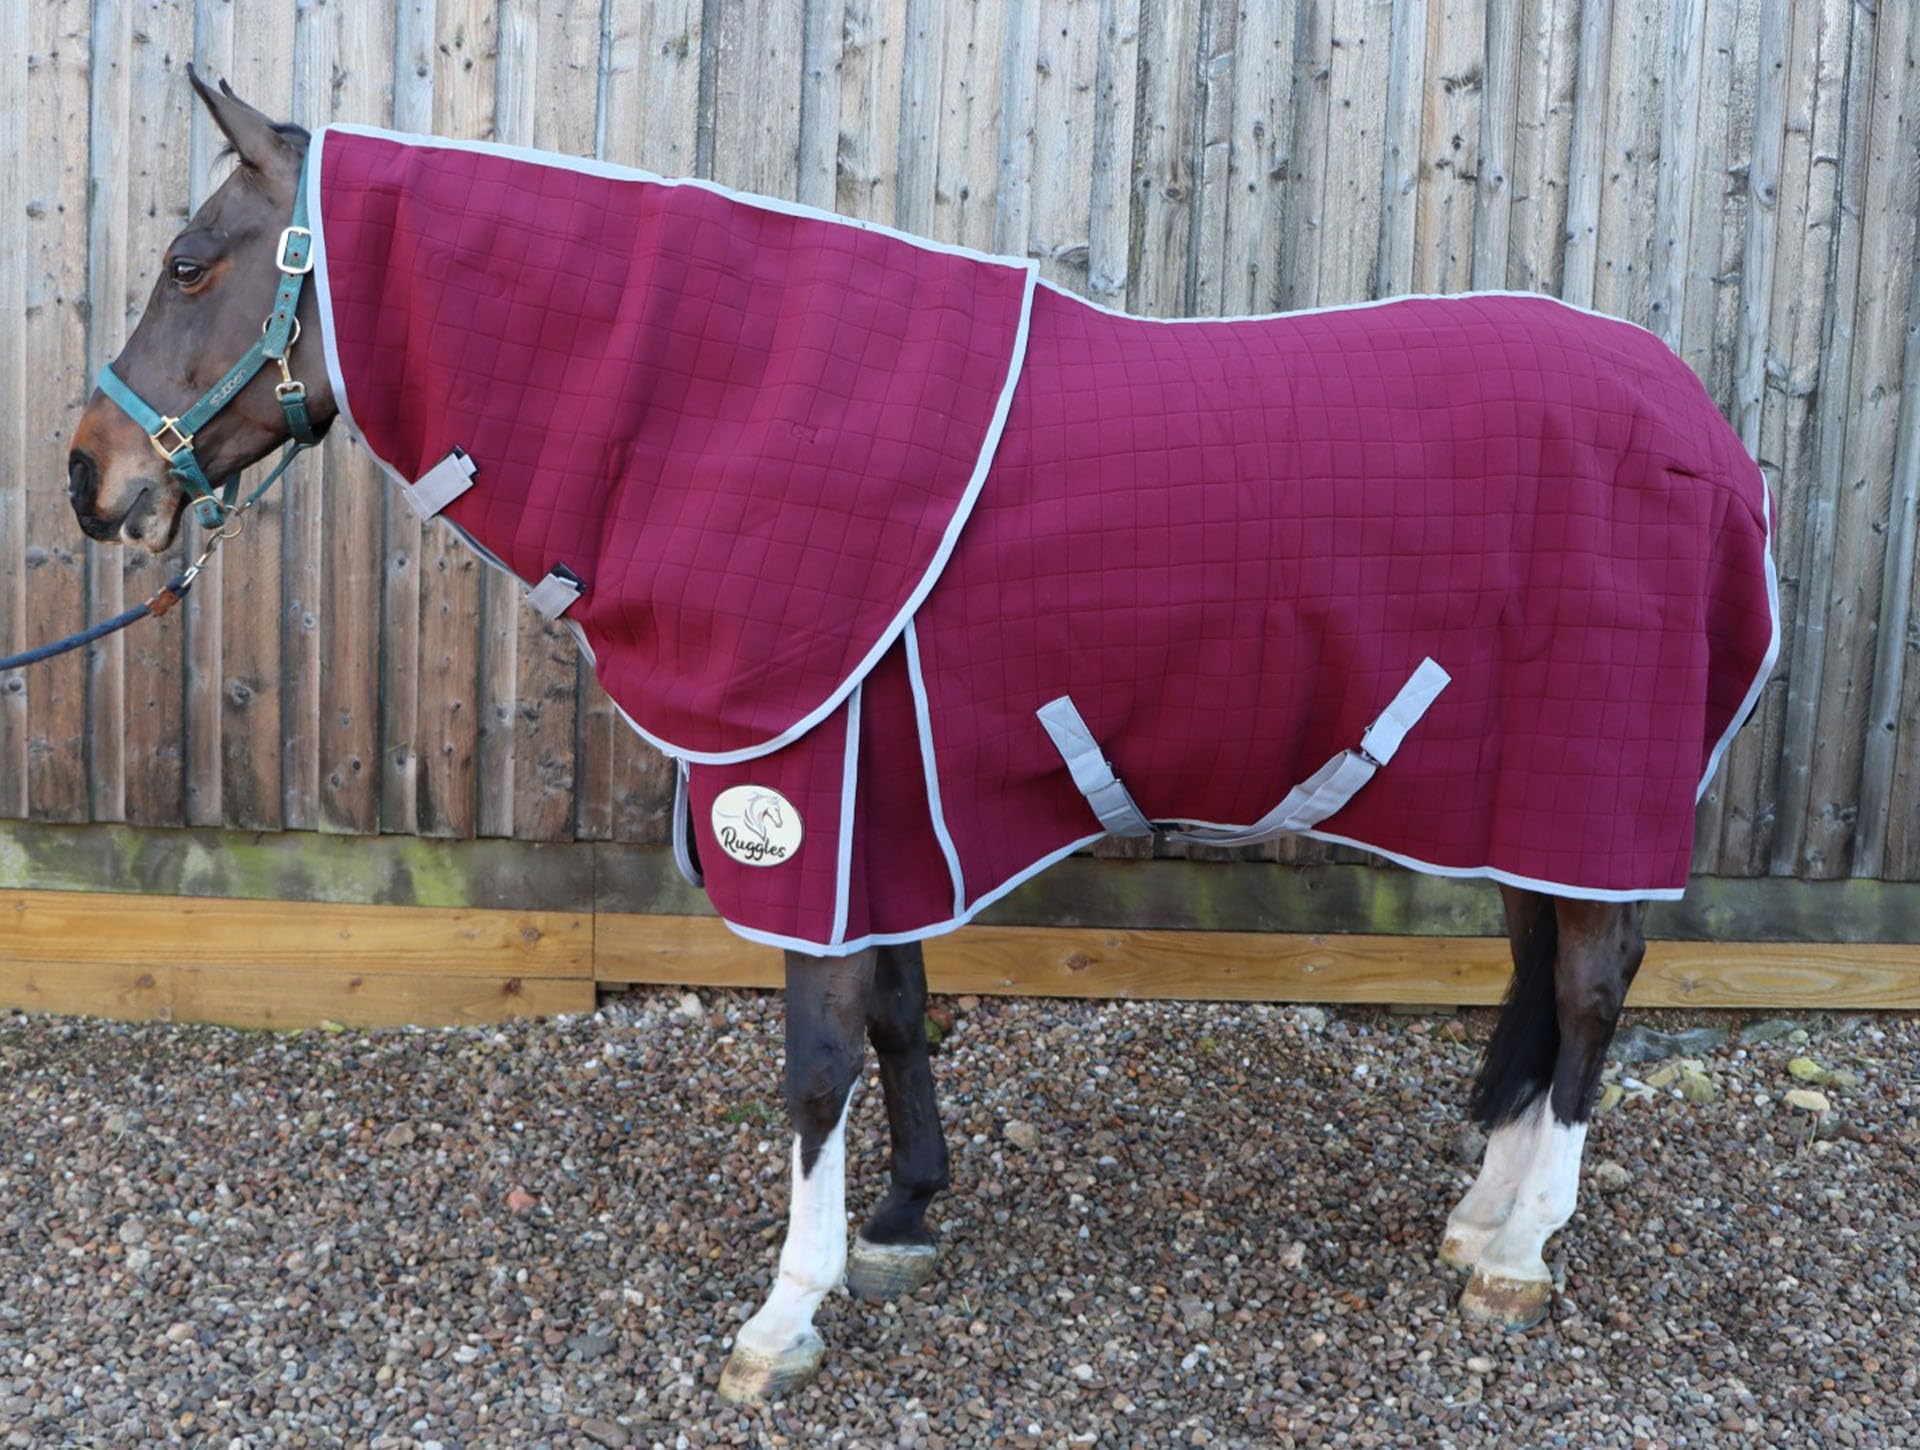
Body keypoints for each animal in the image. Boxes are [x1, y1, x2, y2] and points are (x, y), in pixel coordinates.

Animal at [66, 74, 1778, 1405]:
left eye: (191, 260)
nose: (91, 477)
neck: (724, 411)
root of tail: (1705, 431)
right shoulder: (872, 788)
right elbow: (894, 1007)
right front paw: (901, 1214)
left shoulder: (802, 784)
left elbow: (817, 1053)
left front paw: (785, 1308)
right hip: (1528, 793)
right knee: (1552, 973)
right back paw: (1484, 1214)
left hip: (1588, 778)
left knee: (1593, 984)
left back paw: (1518, 1256)